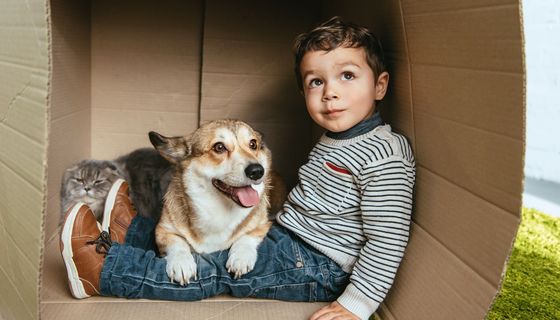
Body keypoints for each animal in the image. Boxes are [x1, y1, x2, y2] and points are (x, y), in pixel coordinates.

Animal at [150, 120, 284, 284]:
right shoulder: (162, 230)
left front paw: (241, 258)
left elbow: (246, 237)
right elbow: (177, 243)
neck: (220, 209)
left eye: (253, 144)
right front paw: (182, 263)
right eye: (219, 147)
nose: (257, 171)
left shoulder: (262, 225)